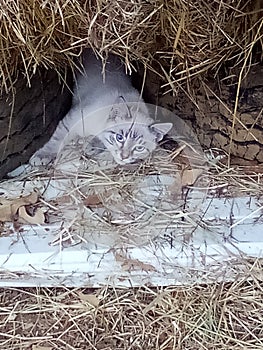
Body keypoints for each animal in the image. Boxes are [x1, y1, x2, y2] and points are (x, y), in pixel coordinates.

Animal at [31, 49, 173, 165]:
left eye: (139, 148)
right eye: (119, 138)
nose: (124, 157)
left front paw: (92, 146)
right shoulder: (70, 120)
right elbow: (56, 140)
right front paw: (42, 155)